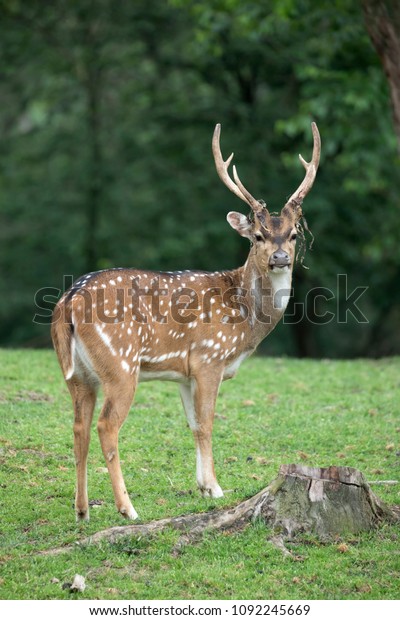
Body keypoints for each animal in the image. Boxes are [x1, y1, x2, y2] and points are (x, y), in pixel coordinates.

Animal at [52, 120, 322, 520]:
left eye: (291, 235)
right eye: (258, 236)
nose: (279, 257)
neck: (245, 321)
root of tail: (67, 302)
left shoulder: (184, 371)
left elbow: (193, 424)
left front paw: (204, 486)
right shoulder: (210, 357)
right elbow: (208, 422)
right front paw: (217, 488)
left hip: (77, 373)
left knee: (78, 426)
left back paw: (83, 510)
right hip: (120, 364)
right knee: (106, 425)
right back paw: (127, 509)